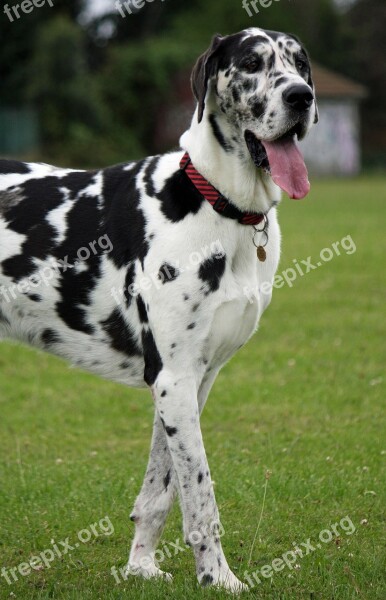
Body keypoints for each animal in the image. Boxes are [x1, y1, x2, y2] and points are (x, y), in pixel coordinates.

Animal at [0, 27, 318, 592]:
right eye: (252, 63)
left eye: (300, 63)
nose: (301, 96)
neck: (220, 205)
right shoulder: (173, 378)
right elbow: (201, 496)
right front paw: (218, 578)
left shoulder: (191, 381)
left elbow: (162, 490)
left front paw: (141, 567)